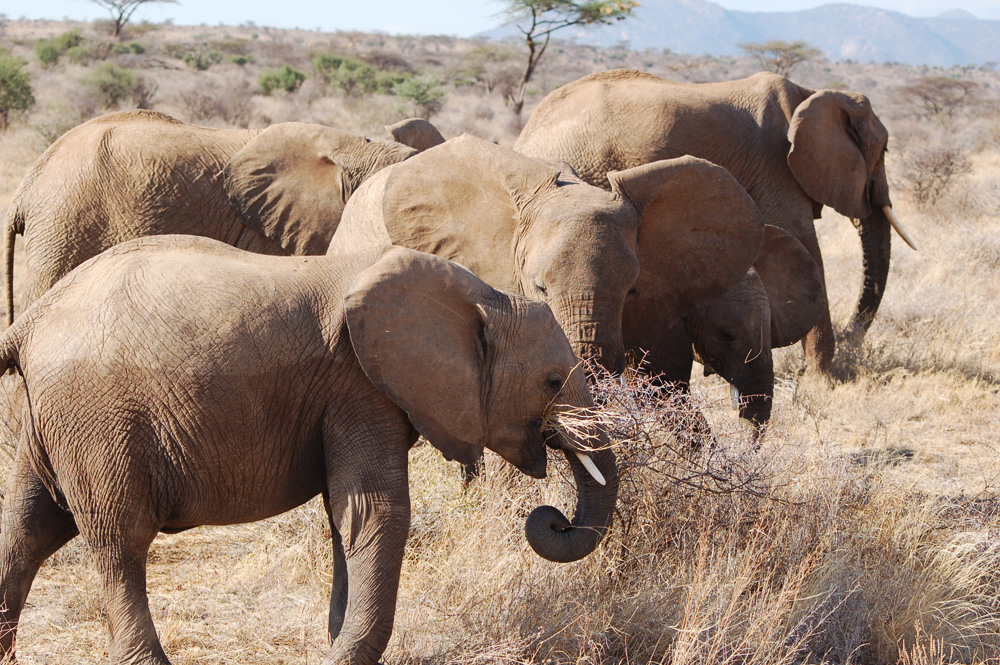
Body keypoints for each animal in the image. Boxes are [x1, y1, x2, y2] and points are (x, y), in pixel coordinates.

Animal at [0, 239, 616, 664]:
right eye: (552, 381)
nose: (553, 519)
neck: (484, 297)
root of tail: (30, 320)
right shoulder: (360, 387)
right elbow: (376, 511)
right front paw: (342, 655)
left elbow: (347, 516)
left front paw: (337, 641)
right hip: (96, 418)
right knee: (119, 540)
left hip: (53, 418)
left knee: (26, 529)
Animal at [516, 69, 916, 376]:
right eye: (885, 150)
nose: (852, 337)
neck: (811, 93)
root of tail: (526, 132)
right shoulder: (778, 168)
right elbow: (808, 249)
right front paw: (824, 381)